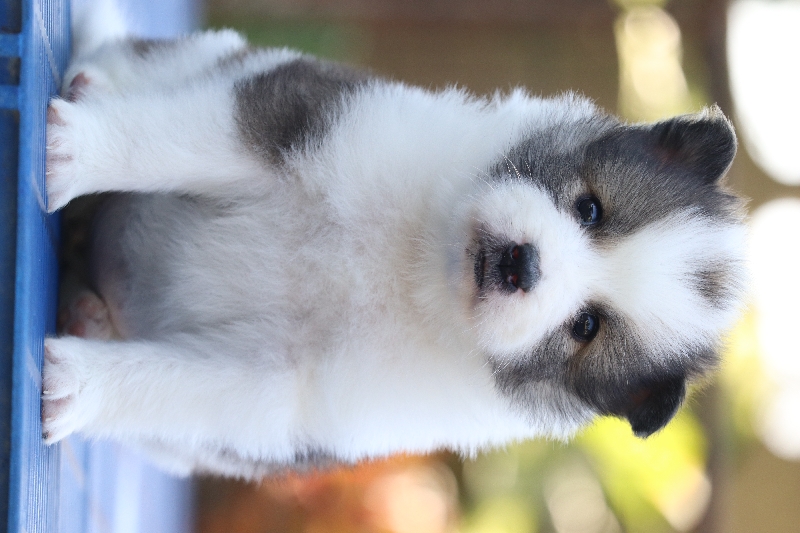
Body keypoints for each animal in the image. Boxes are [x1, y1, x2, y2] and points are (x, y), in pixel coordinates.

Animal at [41, 14, 748, 479]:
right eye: (591, 209)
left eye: (587, 326)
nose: (522, 263)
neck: (415, 267)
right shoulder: (294, 118)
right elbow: (174, 140)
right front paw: (76, 151)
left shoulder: (279, 392)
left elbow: (179, 389)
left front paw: (74, 387)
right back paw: (92, 86)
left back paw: (91, 316)